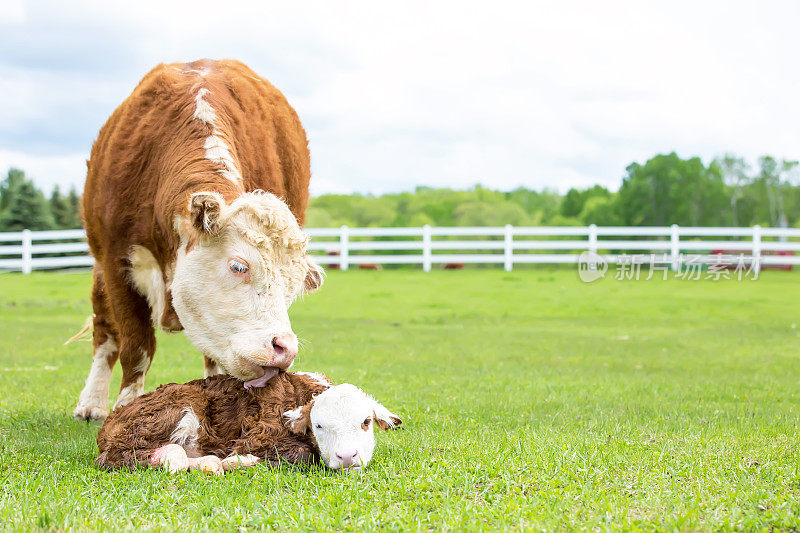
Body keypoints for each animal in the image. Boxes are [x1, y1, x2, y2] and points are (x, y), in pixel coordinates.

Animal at [73, 58, 324, 422]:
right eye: (238, 266)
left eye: (292, 287)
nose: (284, 349)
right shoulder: (117, 263)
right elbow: (136, 346)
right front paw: (127, 406)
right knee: (106, 330)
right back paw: (91, 402)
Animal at [97, 370, 404, 474]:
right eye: (318, 426)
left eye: (366, 421)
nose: (347, 456)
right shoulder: (256, 437)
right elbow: (303, 455)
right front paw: (239, 461)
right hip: (181, 406)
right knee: (120, 456)